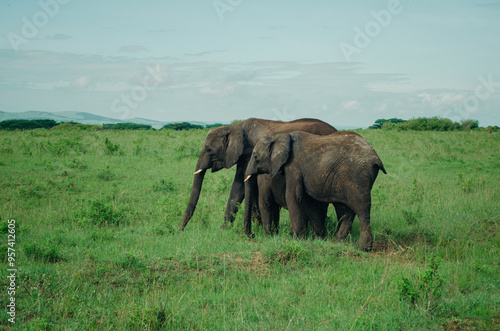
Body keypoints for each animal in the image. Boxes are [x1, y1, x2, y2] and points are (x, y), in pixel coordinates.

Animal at [178, 118, 338, 232]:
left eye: (209, 149)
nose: (179, 231)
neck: (236, 126)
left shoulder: (250, 153)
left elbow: (244, 187)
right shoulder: (244, 157)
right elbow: (238, 189)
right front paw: (223, 231)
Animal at [244, 131, 388, 250]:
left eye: (255, 156)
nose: (252, 235)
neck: (280, 136)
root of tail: (375, 157)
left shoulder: (293, 166)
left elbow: (293, 196)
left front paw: (296, 239)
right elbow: (310, 201)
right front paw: (317, 239)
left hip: (357, 176)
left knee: (361, 208)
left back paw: (363, 247)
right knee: (348, 209)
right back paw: (337, 242)